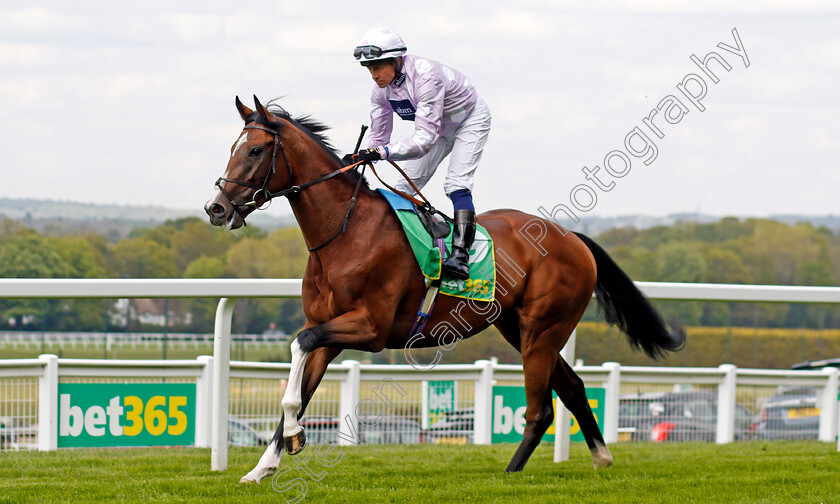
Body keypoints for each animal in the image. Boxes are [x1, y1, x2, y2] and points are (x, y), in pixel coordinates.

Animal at [203, 95, 684, 484]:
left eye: (256, 150)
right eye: (232, 149)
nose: (216, 208)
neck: (346, 233)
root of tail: (573, 238)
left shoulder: (370, 328)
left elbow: (299, 347)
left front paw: (289, 442)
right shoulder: (329, 329)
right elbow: (300, 391)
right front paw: (264, 465)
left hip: (544, 329)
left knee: (542, 408)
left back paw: (511, 473)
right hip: (519, 328)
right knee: (572, 387)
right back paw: (600, 458)